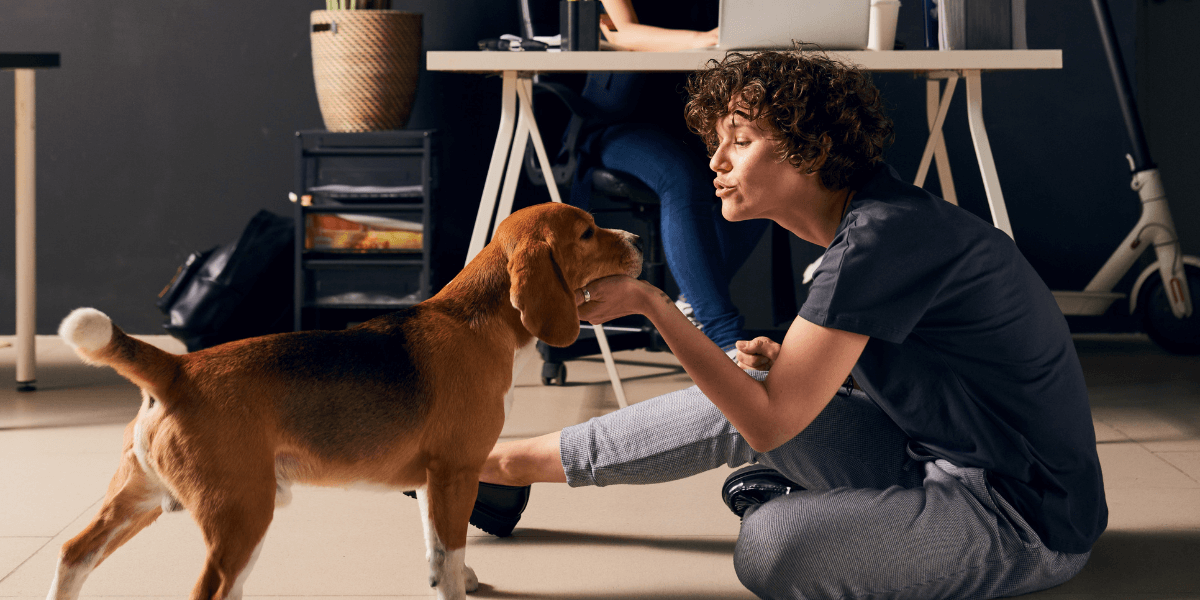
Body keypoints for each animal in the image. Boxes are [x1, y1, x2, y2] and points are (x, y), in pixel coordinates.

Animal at [51, 202, 643, 600]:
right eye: (587, 232)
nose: (638, 237)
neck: (479, 320)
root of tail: (177, 369)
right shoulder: (456, 472)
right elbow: (449, 551)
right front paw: (455, 587)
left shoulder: (430, 479)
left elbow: (436, 547)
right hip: (241, 512)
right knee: (211, 590)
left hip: (140, 498)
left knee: (74, 554)